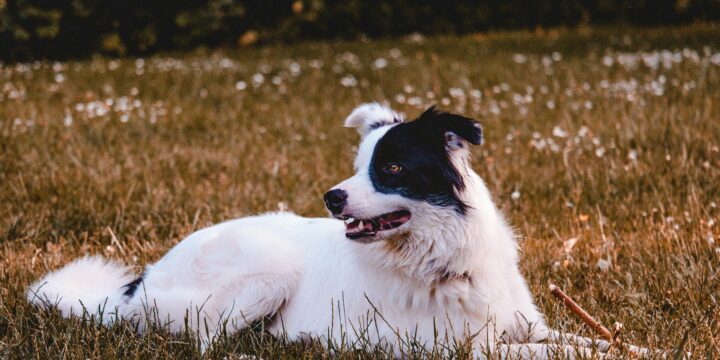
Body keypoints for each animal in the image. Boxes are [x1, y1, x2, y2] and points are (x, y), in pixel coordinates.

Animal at [26, 103, 648, 358]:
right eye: (357, 164)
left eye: (390, 167)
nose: (332, 196)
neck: (439, 258)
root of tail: (140, 284)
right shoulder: (460, 348)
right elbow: (557, 353)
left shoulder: (522, 326)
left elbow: (590, 341)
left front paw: (641, 346)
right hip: (267, 269)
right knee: (206, 340)